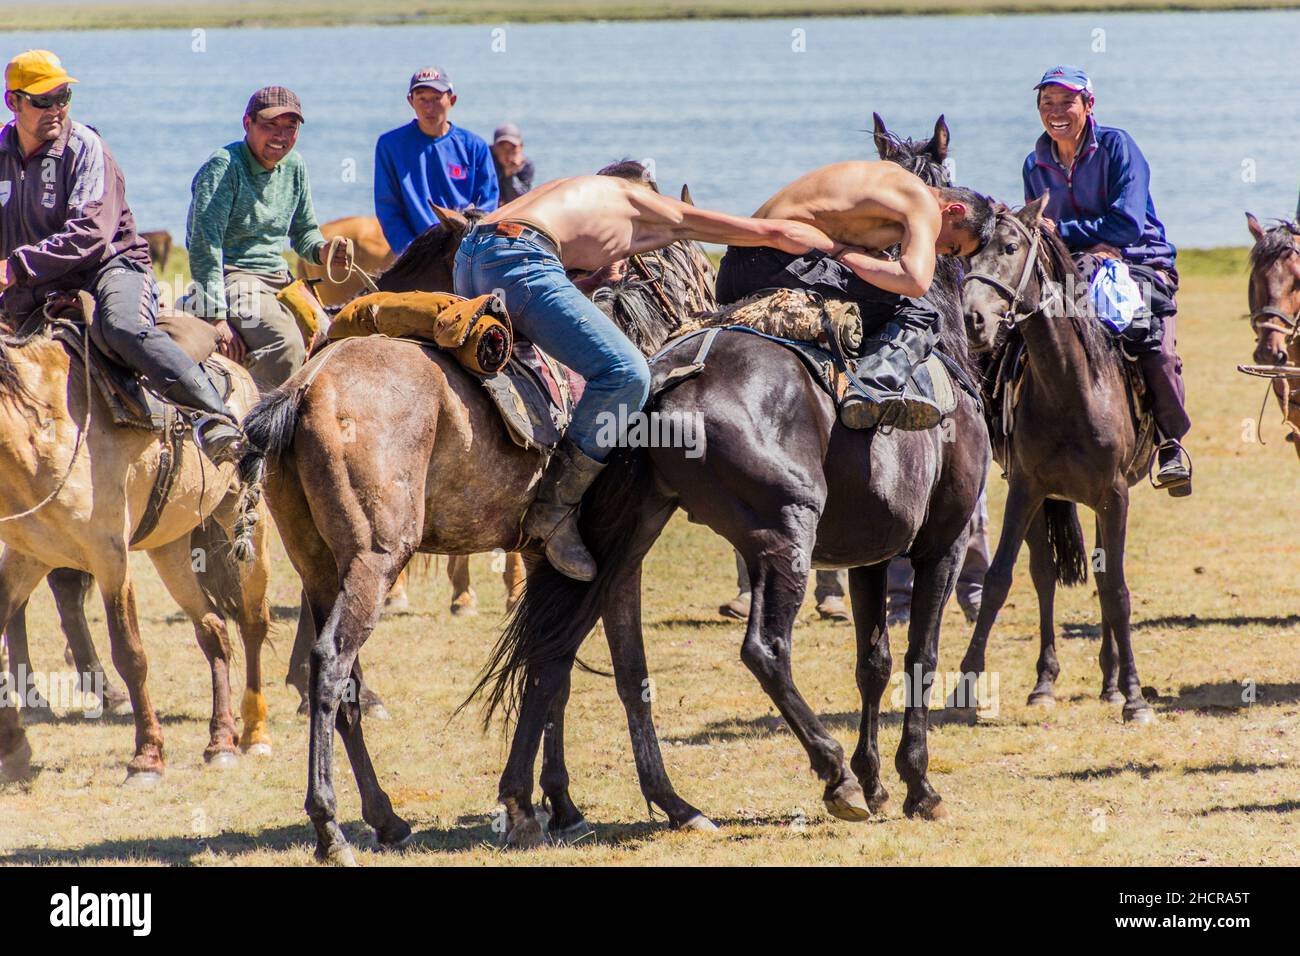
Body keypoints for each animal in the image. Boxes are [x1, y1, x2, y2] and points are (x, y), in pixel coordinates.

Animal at [0, 323, 271, 785]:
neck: (43, 428)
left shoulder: (111, 557)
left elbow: (130, 654)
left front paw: (147, 756)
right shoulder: (27, 556)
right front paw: (14, 747)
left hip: (244, 522)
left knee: (252, 622)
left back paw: (254, 733)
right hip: (169, 548)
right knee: (213, 627)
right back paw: (220, 741)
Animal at [473, 117, 987, 842]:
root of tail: (666, 376)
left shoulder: (870, 555)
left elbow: (875, 662)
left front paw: (880, 780)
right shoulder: (941, 543)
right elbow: (919, 658)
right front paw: (914, 784)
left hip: (621, 543)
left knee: (560, 656)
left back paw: (537, 803)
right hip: (785, 535)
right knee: (765, 649)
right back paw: (831, 775)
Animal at [951, 200, 1154, 723]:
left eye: (1010, 247)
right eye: (968, 252)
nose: (972, 319)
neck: (1071, 388)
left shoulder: (1114, 495)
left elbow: (1117, 590)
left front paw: (1135, 696)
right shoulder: (1026, 489)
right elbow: (999, 579)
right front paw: (965, 684)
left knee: (1104, 576)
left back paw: (1111, 683)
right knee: (1044, 577)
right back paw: (1045, 683)